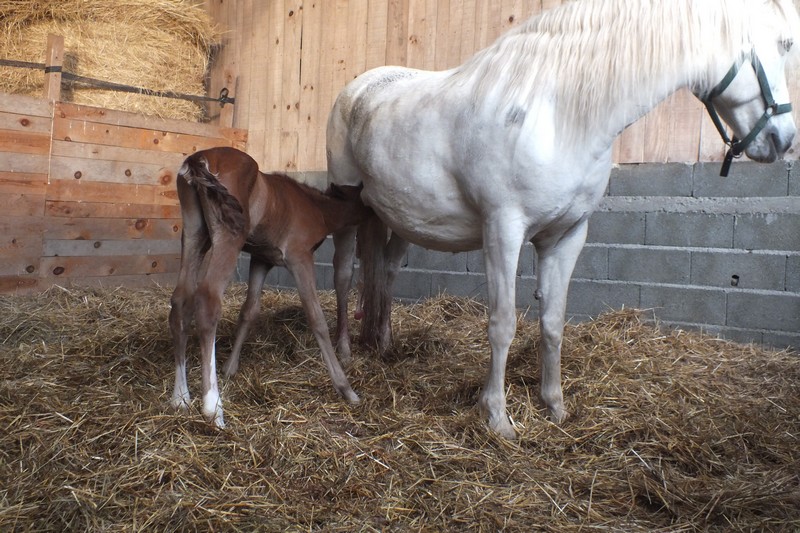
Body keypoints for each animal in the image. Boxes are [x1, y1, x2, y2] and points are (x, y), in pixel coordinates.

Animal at [326, 0, 800, 438]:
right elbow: (502, 323)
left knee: (385, 271)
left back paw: (384, 343)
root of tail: (359, 88)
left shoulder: (567, 235)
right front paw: (497, 417)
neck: (556, 115)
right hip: (345, 206)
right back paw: (345, 352)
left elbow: (553, 322)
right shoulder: (503, 230)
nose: (783, 139)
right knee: (344, 274)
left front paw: (554, 405)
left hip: (400, 218)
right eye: (783, 44)